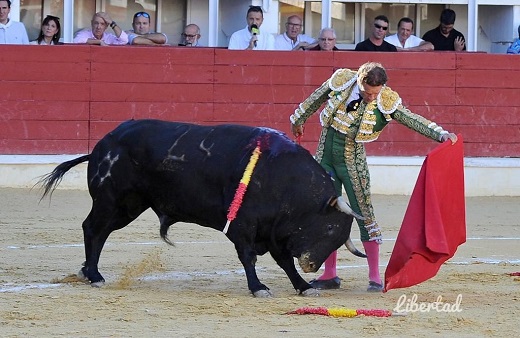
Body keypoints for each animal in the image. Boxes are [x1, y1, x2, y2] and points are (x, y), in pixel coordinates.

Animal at [40, 119, 364, 296]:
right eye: (330, 227)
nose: (311, 264)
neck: (283, 179)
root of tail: (102, 144)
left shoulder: (273, 232)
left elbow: (284, 261)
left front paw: (303, 285)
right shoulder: (243, 227)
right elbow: (249, 257)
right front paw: (258, 287)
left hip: (128, 206)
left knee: (99, 231)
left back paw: (87, 272)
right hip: (112, 201)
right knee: (93, 230)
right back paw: (94, 275)